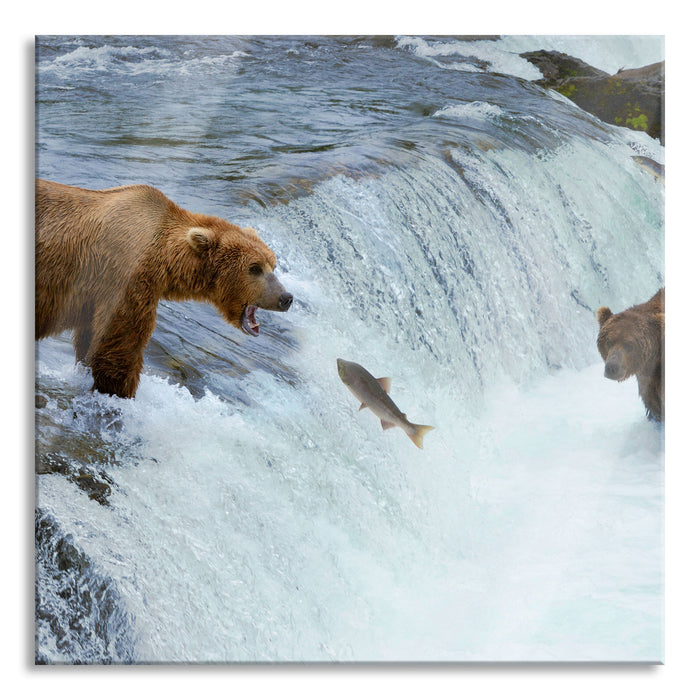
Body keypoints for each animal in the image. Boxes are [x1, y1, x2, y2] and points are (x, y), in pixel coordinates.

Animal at [34, 179, 292, 400]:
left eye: (273, 264)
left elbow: (90, 340)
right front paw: (119, 393)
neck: (164, 260)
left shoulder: (94, 297)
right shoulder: (124, 279)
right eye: (255, 268)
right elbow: (120, 346)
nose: (286, 298)